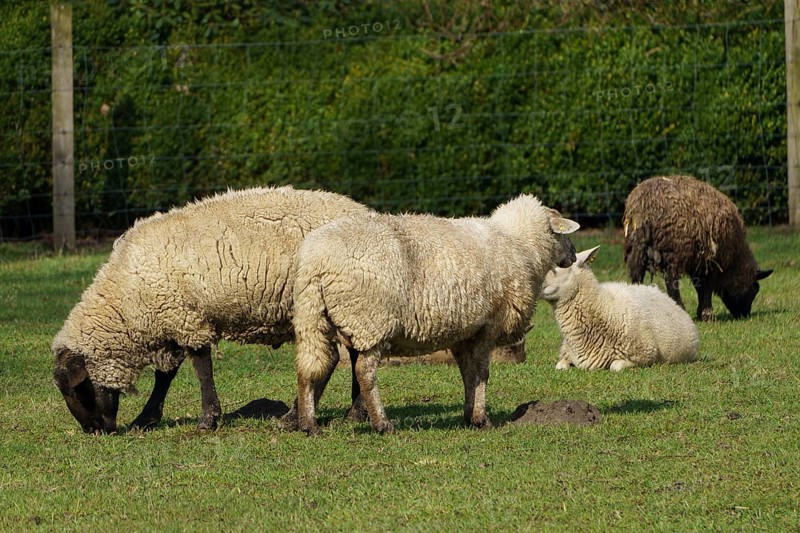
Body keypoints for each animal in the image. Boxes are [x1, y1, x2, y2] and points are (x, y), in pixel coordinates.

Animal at [52, 186, 372, 434]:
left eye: (77, 389)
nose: (94, 430)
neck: (125, 300)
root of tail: (366, 215)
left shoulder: (186, 319)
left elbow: (201, 368)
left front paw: (208, 419)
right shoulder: (174, 316)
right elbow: (165, 375)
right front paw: (146, 418)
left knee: (333, 358)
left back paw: (297, 418)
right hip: (346, 301)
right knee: (353, 355)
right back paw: (355, 413)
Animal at [289, 194, 579, 435]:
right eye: (563, 234)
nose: (574, 255)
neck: (519, 244)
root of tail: (317, 261)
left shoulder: (466, 332)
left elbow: (468, 374)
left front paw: (469, 415)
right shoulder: (488, 327)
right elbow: (482, 373)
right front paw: (482, 419)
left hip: (312, 316)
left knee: (308, 367)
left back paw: (308, 424)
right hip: (371, 319)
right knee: (364, 372)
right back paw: (382, 424)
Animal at [541, 246, 699, 371]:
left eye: (561, 266)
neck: (603, 308)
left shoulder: (642, 356)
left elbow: (615, 367)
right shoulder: (566, 353)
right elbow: (560, 365)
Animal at [623, 175, 772, 321]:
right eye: (754, 289)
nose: (744, 315)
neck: (735, 258)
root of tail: (644, 210)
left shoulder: (698, 262)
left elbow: (699, 287)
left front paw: (701, 313)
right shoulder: (714, 261)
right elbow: (707, 287)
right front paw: (708, 314)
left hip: (636, 251)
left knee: (637, 278)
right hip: (674, 251)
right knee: (671, 282)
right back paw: (680, 309)